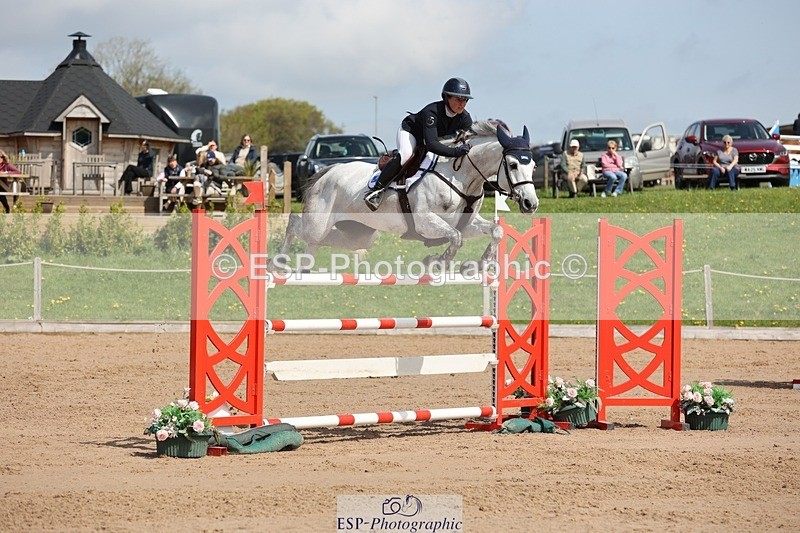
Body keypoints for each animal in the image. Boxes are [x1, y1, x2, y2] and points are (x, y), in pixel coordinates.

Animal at [277, 120, 539, 270]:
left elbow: (495, 231)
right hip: (317, 223)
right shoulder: (425, 222)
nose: (531, 204)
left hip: (359, 235)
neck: (461, 176)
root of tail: (326, 172)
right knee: (296, 224)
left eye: (534, 166)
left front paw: (481, 264)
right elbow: (455, 238)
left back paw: (305, 266)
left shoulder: (466, 223)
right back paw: (277, 262)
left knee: (321, 241)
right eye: (513, 164)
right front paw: (437, 262)